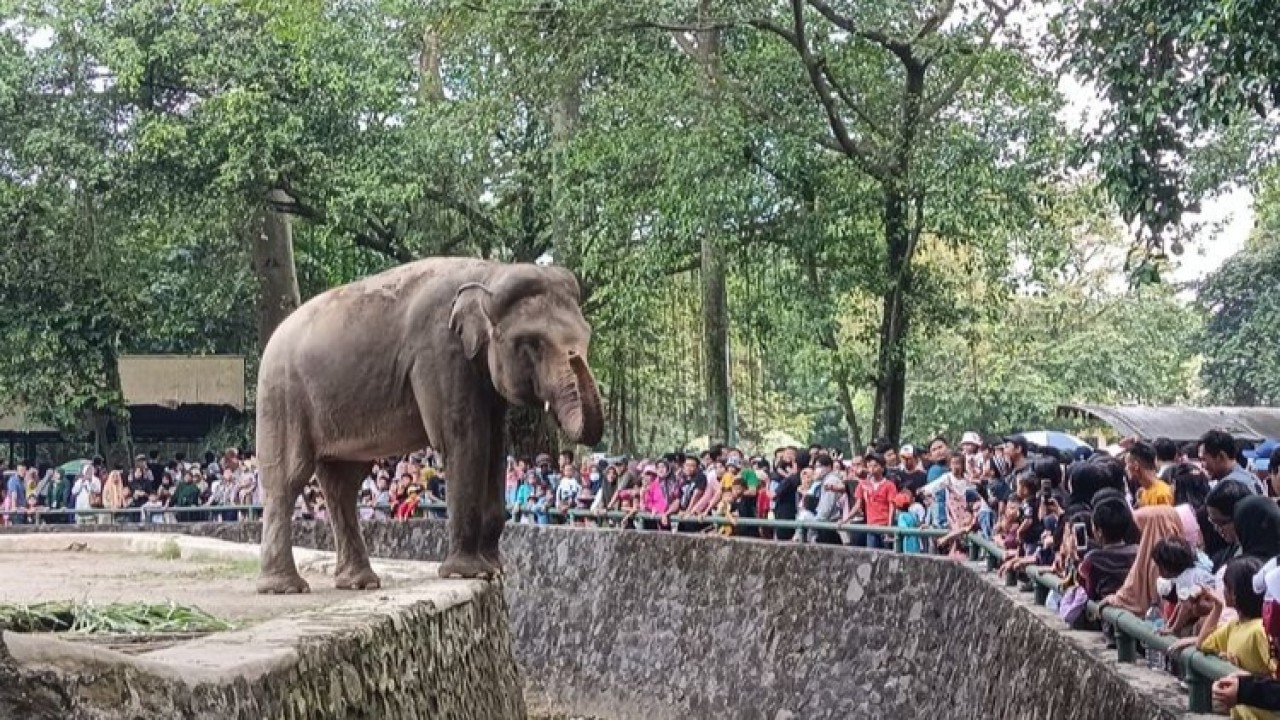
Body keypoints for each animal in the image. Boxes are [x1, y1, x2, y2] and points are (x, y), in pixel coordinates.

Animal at [257, 254, 606, 591]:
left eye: (588, 335)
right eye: (532, 343)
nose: (575, 356)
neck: (489, 274)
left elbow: (495, 445)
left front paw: (496, 568)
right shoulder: (439, 352)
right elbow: (465, 438)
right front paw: (467, 573)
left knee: (342, 485)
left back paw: (359, 583)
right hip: (282, 397)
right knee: (289, 479)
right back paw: (285, 588)